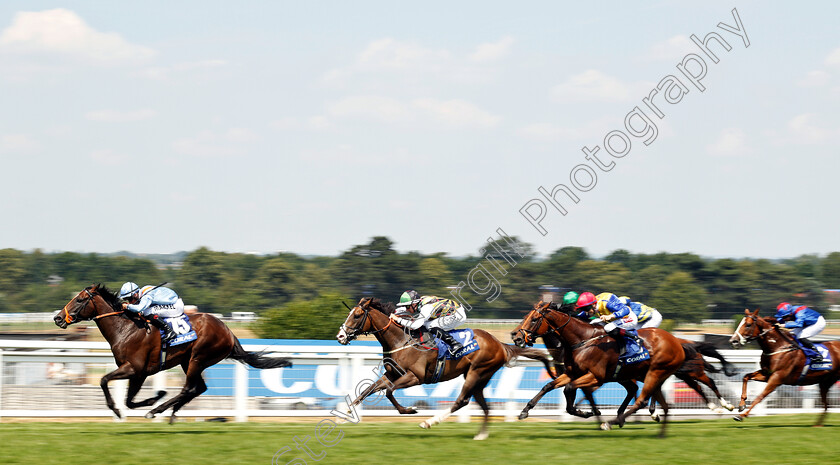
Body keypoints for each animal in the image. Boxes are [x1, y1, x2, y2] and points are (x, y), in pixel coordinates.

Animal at [55, 282, 292, 420]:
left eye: (80, 299)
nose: (57, 318)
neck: (127, 328)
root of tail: (228, 331)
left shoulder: (134, 368)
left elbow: (104, 380)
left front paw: (117, 408)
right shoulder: (139, 373)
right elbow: (129, 401)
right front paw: (153, 397)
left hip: (198, 358)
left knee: (188, 388)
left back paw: (158, 411)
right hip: (189, 361)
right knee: (199, 388)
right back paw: (171, 411)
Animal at [334, 298, 556, 438]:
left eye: (357, 315)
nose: (341, 336)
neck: (401, 340)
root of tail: (500, 344)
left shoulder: (415, 377)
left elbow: (389, 392)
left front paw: (409, 410)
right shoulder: (391, 374)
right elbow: (366, 391)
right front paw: (344, 417)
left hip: (476, 372)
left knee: (461, 401)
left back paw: (429, 422)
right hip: (479, 377)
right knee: (484, 405)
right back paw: (481, 435)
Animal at [508, 300, 732, 424]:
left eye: (534, 319)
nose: (516, 337)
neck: (583, 339)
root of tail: (678, 340)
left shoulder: (596, 377)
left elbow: (571, 390)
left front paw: (587, 412)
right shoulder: (573, 373)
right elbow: (549, 386)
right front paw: (525, 411)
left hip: (673, 370)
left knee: (706, 381)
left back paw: (724, 405)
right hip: (653, 373)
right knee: (658, 389)